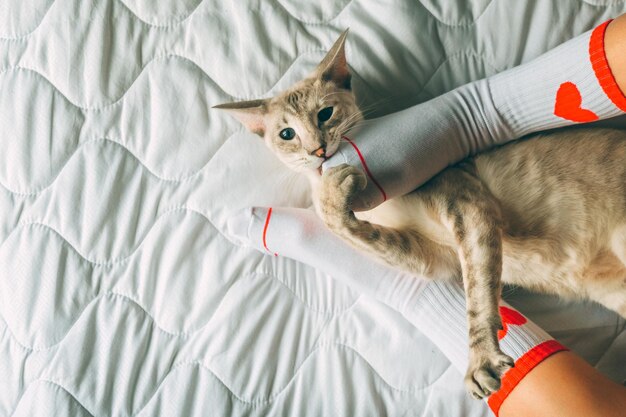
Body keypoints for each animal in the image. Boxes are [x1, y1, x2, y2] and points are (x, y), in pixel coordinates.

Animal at [214, 30, 624, 398]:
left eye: (325, 114)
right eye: (287, 134)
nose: (317, 150)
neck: (383, 206)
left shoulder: (469, 208)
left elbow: (478, 296)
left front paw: (481, 360)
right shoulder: (428, 256)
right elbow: (349, 228)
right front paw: (329, 198)